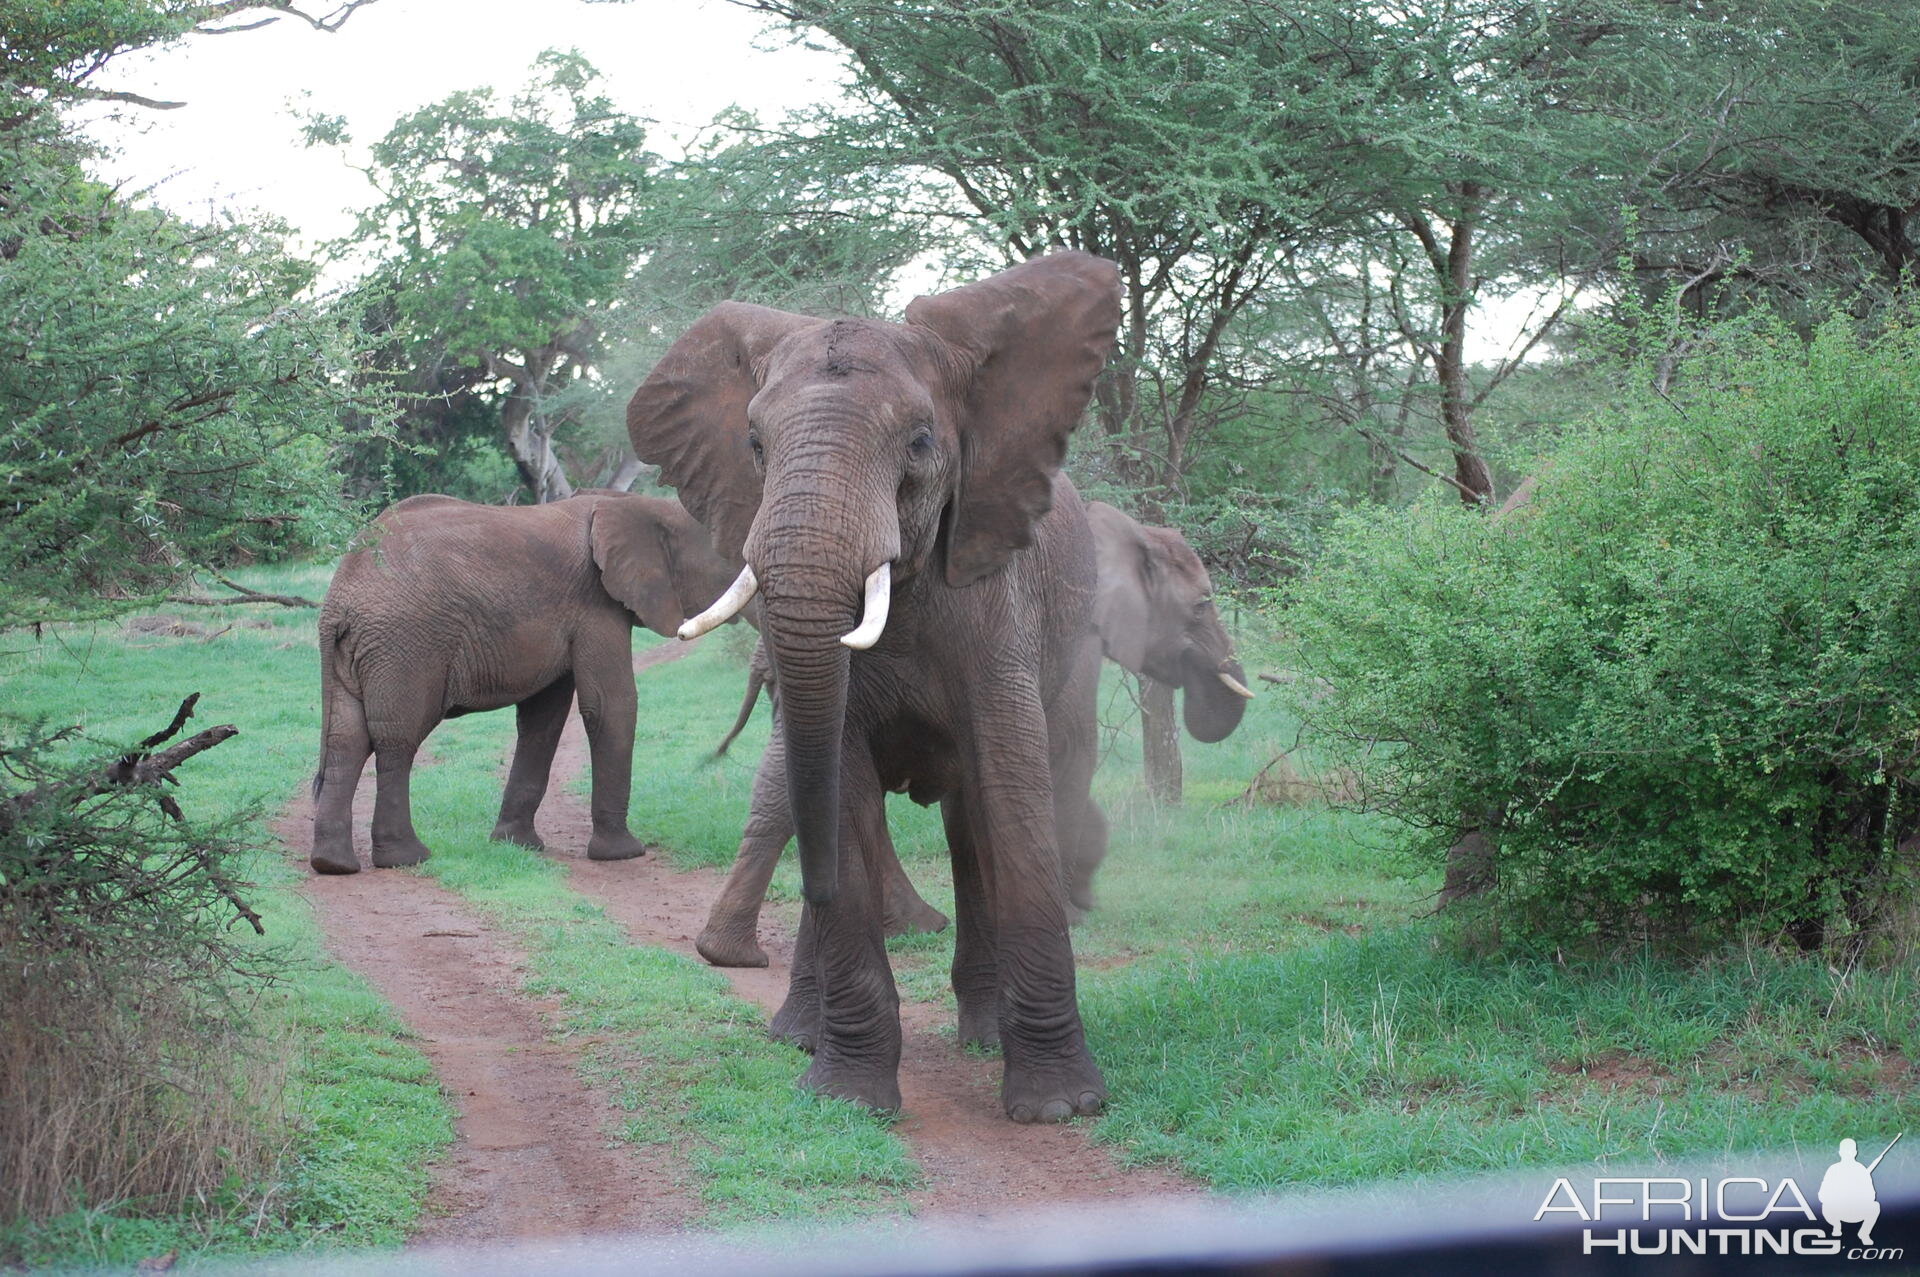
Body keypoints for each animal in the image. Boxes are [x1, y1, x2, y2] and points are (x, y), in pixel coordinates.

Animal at [311, 489, 737, 875]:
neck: (638, 505)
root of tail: (339, 601)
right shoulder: (597, 605)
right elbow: (610, 704)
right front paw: (624, 854)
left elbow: (542, 718)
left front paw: (517, 845)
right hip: (406, 644)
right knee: (396, 739)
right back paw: (407, 858)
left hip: (357, 652)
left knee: (346, 740)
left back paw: (333, 864)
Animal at [629, 249, 1121, 1113]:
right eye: (754, 444)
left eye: (921, 442)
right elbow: (838, 777)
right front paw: (847, 1098)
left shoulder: (999, 602)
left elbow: (1013, 786)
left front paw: (1062, 1106)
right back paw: (801, 1033)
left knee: (977, 818)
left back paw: (980, 1036)